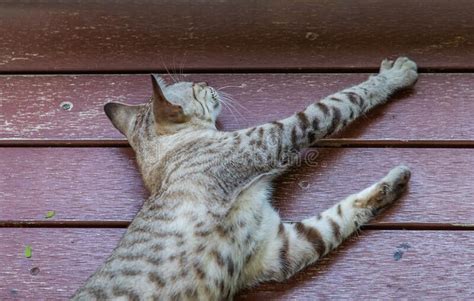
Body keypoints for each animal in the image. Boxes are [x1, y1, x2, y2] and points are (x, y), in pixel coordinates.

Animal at [71, 56, 418, 300]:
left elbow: (337, 219)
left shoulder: (277, 248)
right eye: (195, 87)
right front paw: (394, 76)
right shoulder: (275, 138)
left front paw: (393, 184)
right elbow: (343, 101)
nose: (206, 80)